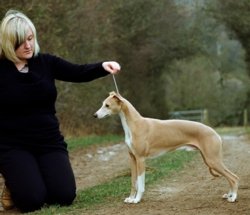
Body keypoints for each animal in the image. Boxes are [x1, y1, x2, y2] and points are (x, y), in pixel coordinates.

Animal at [93, 92, 238, 203]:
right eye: (102, 104)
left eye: (107, 105)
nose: (94, 115)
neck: (134, 124)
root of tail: (215, 133)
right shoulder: (132, 159)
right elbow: (133, 182)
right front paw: (130, 198)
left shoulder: (140, 159)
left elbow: (141, 183)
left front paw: (137, 200)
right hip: (211, 160)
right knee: (230, 177)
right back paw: (229, 195)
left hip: (212, 160)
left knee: (234, 177)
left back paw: (233, 197)